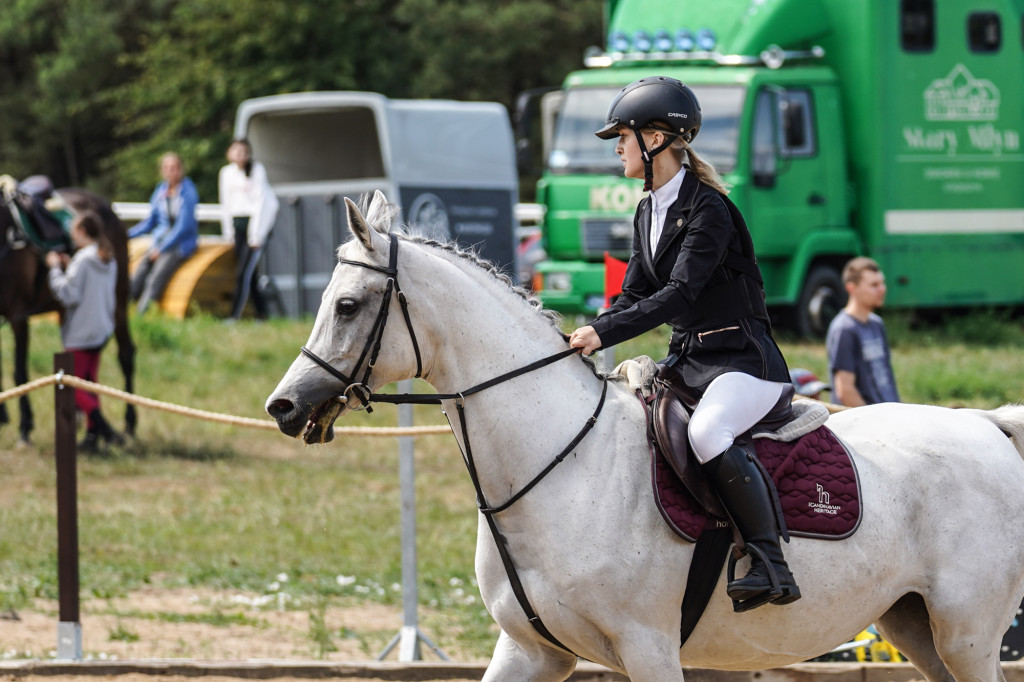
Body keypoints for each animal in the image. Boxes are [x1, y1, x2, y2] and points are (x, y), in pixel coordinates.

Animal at [0, 180, 136, 444]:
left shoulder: (18, 315)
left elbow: (19, 371)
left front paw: (25, 427)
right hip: (67, 309)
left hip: (118, 300)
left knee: (126, 354)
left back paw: (127, 423)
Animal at [268, 192, 1024, 679]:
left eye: (347, 305)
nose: (283, 406)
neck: (561, 466)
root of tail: (985, 423)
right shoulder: (530, 651)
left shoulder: (648, 646)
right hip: (916, 627)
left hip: (967, 635)